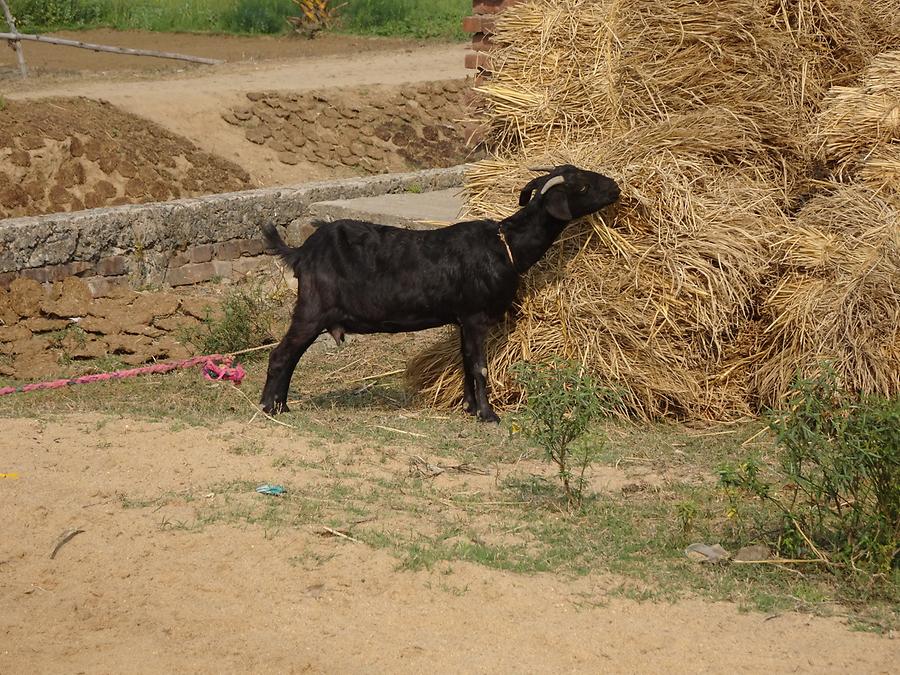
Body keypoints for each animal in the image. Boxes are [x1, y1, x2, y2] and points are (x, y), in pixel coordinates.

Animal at [260, 166, 620, 420]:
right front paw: (489, 415)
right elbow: (480, 365)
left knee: (291, 356)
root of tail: (301, 251)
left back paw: (282, 406)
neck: (505, 245)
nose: (616, 187)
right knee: (281, 354)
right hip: (312, 307)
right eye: (583, 186)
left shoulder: (463, 318)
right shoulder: (476, 315)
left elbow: (466, 362)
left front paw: (471, 408)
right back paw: (269, 407)